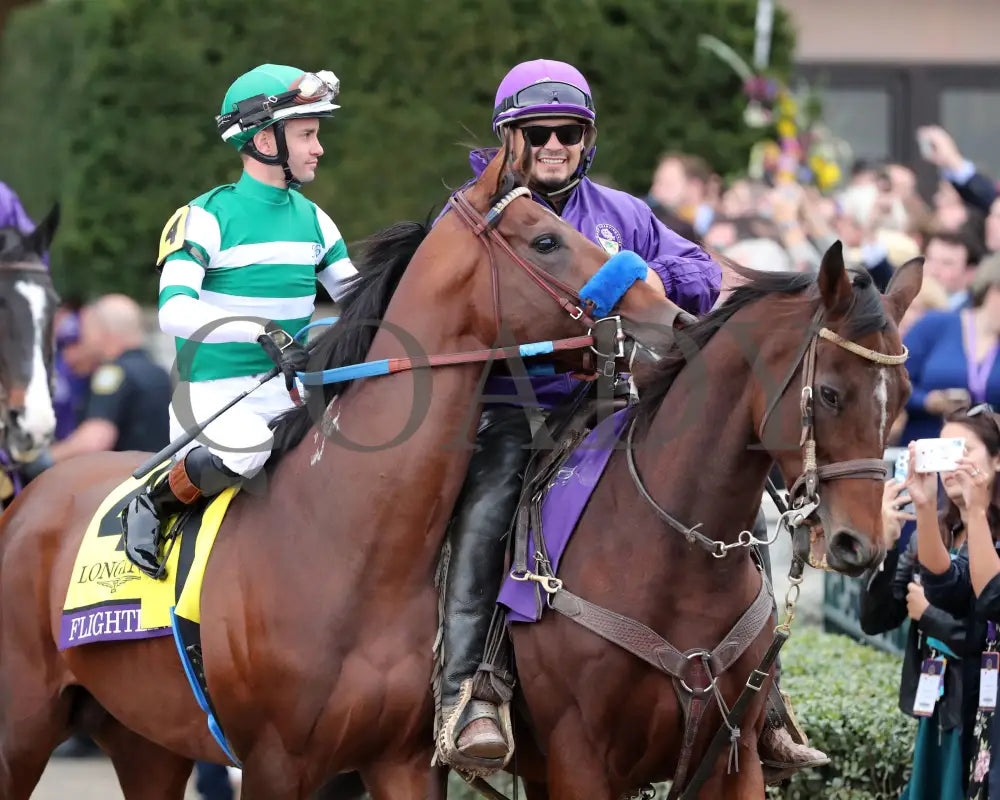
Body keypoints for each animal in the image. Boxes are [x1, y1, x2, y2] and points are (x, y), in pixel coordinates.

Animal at [0, 150, 684, 800]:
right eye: (546, 240)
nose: (670, 314)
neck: (348, 541)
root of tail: (31, 497)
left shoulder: (402, 761)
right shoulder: (275, 763)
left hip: (146, 739)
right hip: (24, 728)